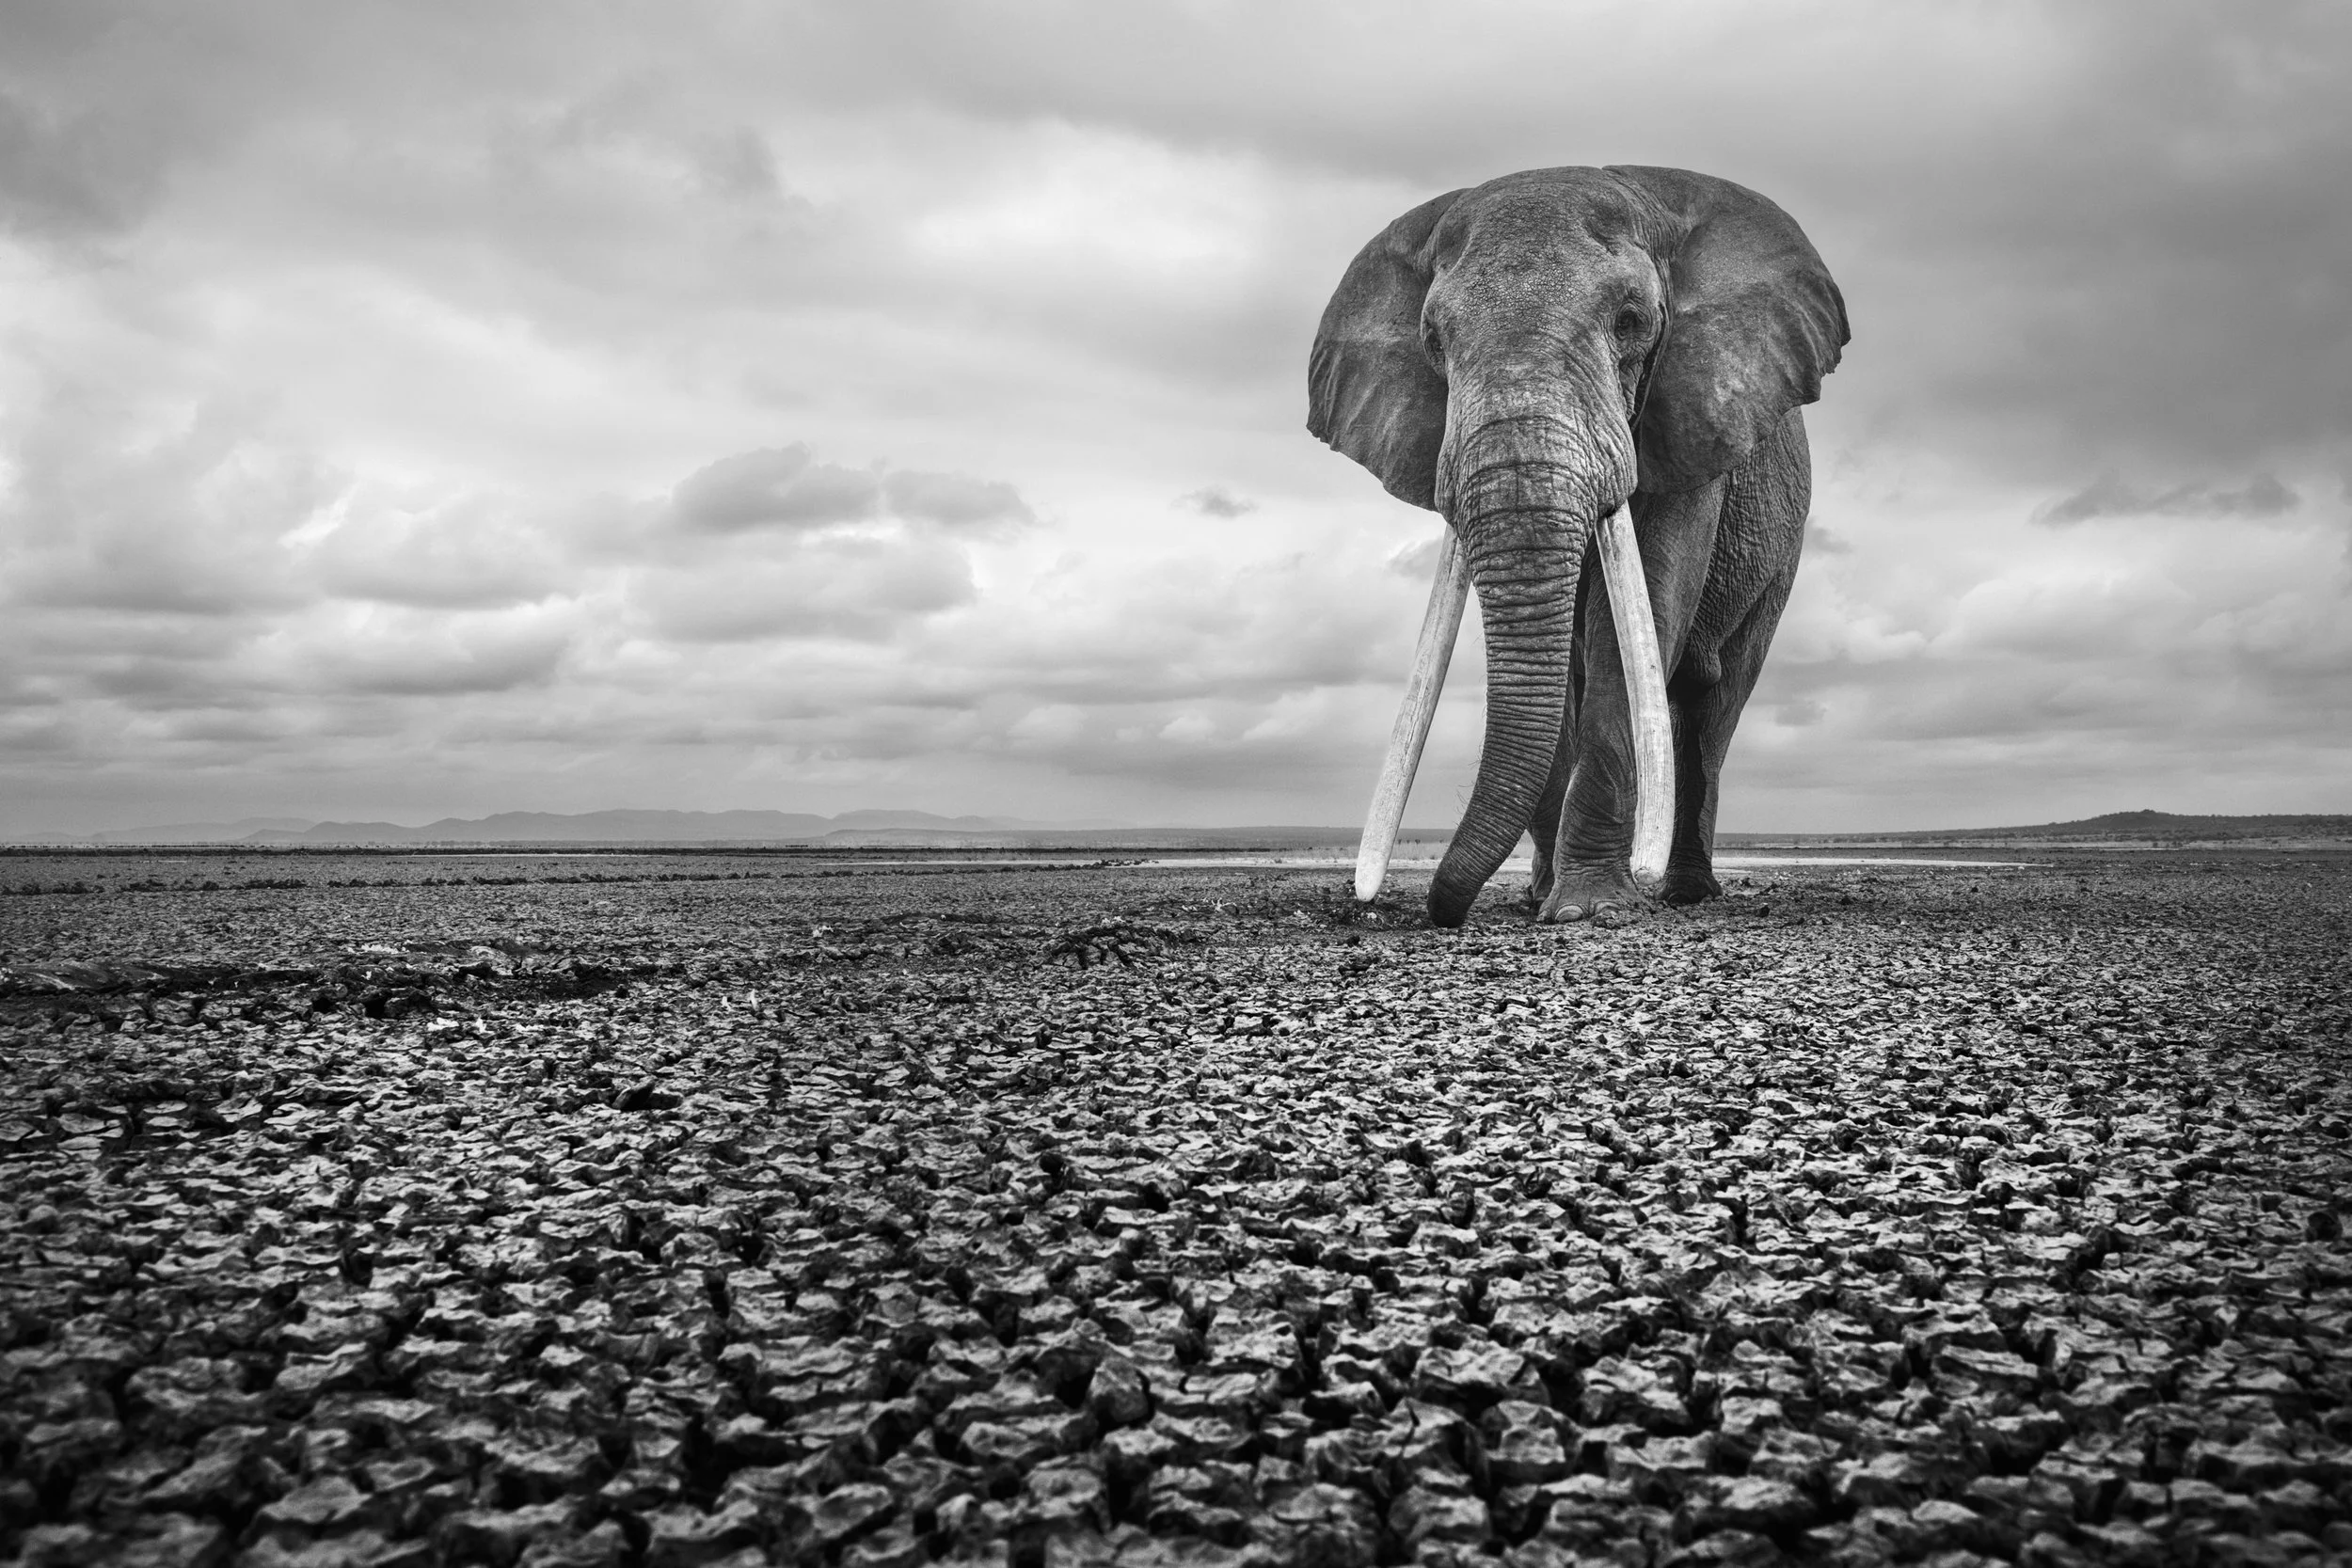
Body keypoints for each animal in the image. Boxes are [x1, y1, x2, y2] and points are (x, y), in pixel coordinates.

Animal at [1309, 165, 1848, 928]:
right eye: (1434, 340)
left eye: (1631, 322)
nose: (1441, 910)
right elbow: (1564, 659)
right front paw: (1545, 898)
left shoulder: (1688, 423)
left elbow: (1649, 599)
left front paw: (1587, 909)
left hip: (1779, 561)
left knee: (1713, 707)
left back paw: (1685, 892)